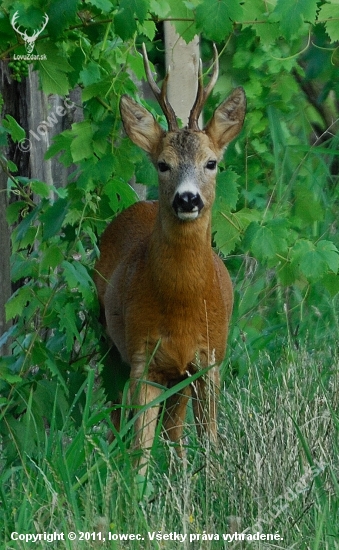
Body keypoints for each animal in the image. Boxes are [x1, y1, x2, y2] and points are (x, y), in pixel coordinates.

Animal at [94, 44, 246, 474]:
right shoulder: (143, 357)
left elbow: (210, 439)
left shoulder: (210, 357)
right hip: (112, 345)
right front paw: (135, 491)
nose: (187, 198)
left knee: (174, 430)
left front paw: (213, 483)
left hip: (180, 374)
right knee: (126, 421)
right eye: (163, 164)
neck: (183, 303)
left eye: (212, 162)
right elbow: (139, 452)